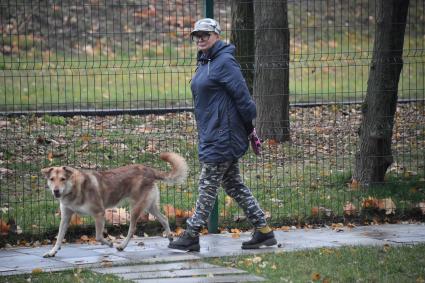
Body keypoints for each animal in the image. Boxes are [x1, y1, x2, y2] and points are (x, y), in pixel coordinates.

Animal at [41, 152, 187, 258]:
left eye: (63, 179)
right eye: (52, 179)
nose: (56, 191)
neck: (75, 189)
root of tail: (149, 170)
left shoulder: (99, 213)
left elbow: (98, 236)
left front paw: (110, 243)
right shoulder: (66, 216)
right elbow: (59, 237)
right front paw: (52, 252)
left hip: (135, 209)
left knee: (132, 229)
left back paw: (122, 246)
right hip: (150, 206)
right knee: (164, 219)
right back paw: (170, 238)